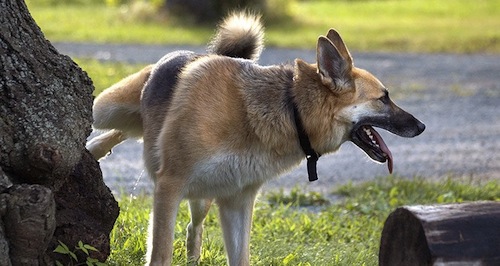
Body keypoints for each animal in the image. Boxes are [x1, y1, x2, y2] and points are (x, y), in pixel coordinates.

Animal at [88, 11, 424, 264]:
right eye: (383, 98)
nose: (421, 127)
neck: (289, 109)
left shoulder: (237, 201)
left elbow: (239, 257)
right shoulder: (169, 186)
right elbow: (160, 254)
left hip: (203, 197)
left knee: (193, 226)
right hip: (108, 108)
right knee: (113, 124)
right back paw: (93, 147)